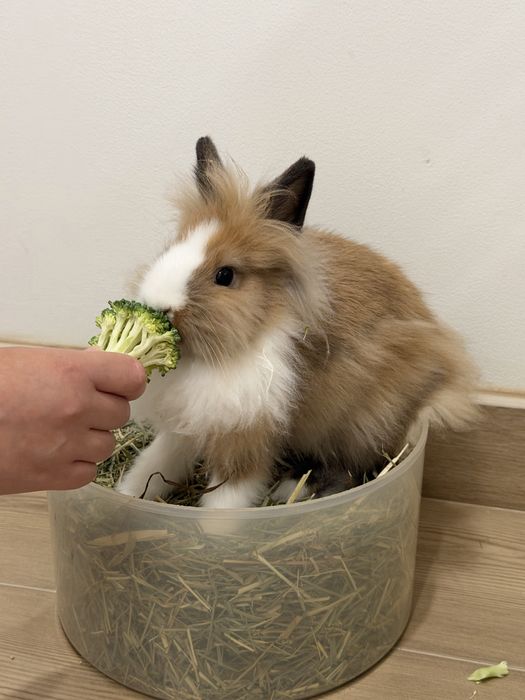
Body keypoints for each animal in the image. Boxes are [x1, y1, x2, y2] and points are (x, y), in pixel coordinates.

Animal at [117, 136, 479, 508]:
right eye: (169, 249)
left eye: (225, 275)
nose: (157, 305)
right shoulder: (184, 426)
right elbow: (155, 463)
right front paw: (126, 497)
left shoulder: (248, 437)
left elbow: (227, 501)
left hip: (365, 419)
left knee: (352, 467)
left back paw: (293, 488)